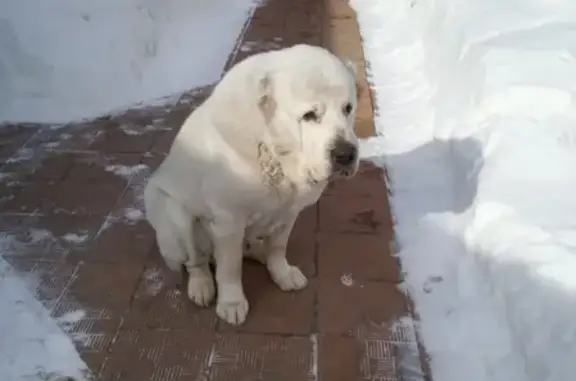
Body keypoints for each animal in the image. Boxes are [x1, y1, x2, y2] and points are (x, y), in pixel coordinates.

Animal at [143, 43, 360, 324]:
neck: (272, 149)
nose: (346, 155)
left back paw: (259, 252)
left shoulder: (289, 211)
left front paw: (281, 272)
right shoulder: (228, 219)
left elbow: (278, 246)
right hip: (170, 211)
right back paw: (202, 285)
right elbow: (230, 266)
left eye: (348, 108)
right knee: (196, 260)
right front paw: (231, 302)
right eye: (310, 115)